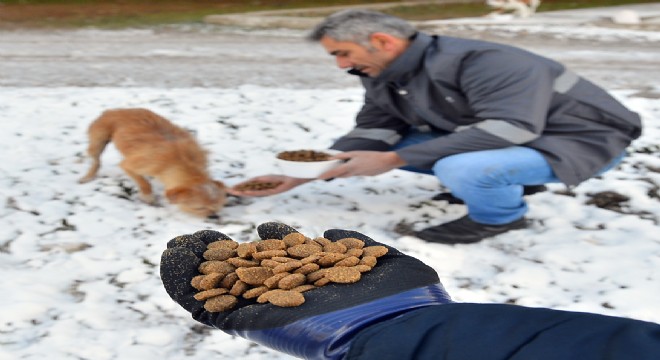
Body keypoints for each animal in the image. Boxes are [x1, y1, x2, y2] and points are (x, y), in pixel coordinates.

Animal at [80, 107, 227, 219]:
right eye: (199, 208)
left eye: (218, 206)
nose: (213, 216)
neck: (183, 161)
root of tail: (113, 110)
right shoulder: (130, 165)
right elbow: (144, 183)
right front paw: (148, 196)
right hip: (98, 140)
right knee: (96, 161)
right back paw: (88, 176)